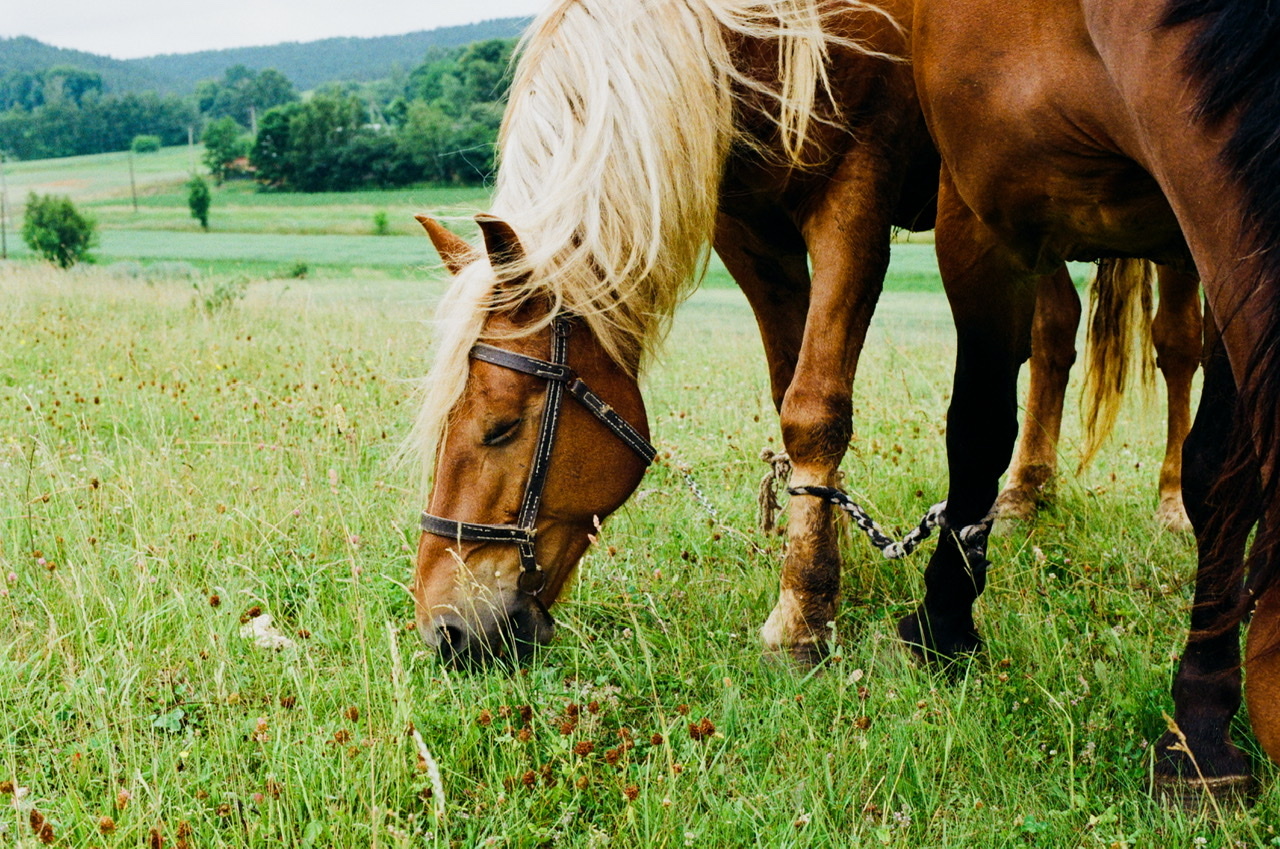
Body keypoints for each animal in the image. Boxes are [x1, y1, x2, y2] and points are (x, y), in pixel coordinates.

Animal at [414, 0, 936, 671]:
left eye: (501, 428)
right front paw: (825, 550)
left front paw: (801, 617)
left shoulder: (856, 194)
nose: (442, 631)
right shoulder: (750, 232)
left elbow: (815, 408)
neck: (757, 43)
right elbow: (789, 391)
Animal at [906, 0, 1280, 799]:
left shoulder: (1222, 259)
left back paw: (1164, 501)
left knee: (1174, 347)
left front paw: (1200, 730)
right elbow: (978, 429)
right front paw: (943, 626)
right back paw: (1027, 488)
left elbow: (1222, 476)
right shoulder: (978, 222)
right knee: (1055, 335)